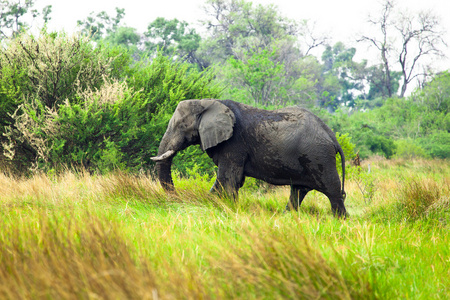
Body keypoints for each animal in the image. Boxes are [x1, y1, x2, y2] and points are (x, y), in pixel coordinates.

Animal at [151, 99, 348, 217]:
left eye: (181, 125)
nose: (178, 199)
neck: (208, 103)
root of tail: (332, 136)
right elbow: (234, 181)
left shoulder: (234, 143)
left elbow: (227, 180)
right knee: (298, 191)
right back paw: (286, 217)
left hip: (319, 156)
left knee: (333, 191)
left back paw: (341, 221)